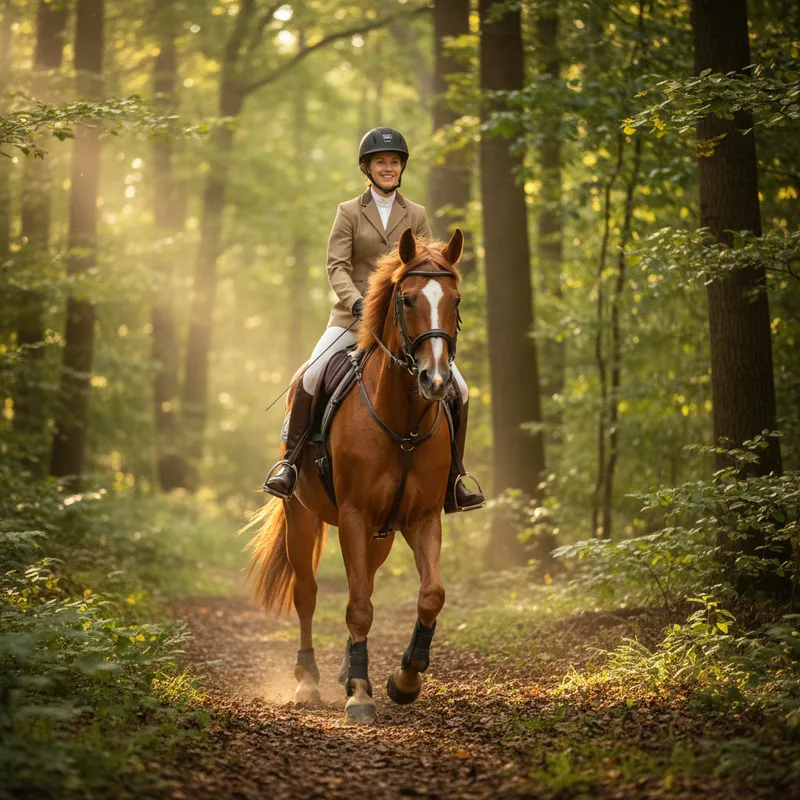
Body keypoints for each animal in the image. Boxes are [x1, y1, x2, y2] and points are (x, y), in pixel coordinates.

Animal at [244, 227, 465, 724]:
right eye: (406, 299)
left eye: (456, 300)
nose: (436, 381)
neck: (402, 423)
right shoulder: (353, 517)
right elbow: (358, 606)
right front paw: (361, 695)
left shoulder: (423, 519)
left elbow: (430, 595)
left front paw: (405, 678)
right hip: (302, 516)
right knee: (307, 592)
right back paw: (308, 681)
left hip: (382, 533)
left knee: (366, 580)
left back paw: (349, 667)